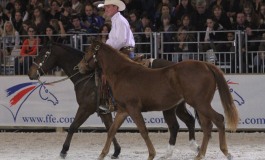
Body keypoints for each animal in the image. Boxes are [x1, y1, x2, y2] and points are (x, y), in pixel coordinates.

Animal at [77, 40, 238, 160]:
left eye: (87, 52)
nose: (79, 67)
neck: (122, 73)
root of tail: (205, 65)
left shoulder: (133, 109)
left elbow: (143, 131)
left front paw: (151, 154)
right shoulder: (123, 111)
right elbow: (111, 131)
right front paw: (102, 154)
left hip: (200, 104)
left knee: (218, 119)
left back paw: (225, 152)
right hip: (200, 105)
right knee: (206, 126)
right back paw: (200, 154)